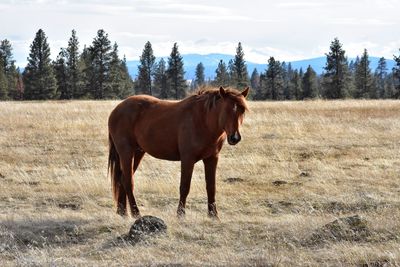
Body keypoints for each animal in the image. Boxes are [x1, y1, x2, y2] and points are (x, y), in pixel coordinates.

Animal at [108, 87, 248, 219]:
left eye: (242, 110)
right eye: (226, 110)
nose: (235, 137)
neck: (202, 120)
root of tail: (116, 110)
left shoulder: (212, 158)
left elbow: (211, 187)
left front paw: (213, 215)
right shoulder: (187, 159)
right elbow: (184, 187)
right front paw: (180, 215)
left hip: (137, 153)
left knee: (122, 179)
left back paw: (122, 212)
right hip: (126, 152)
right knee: (128, 181)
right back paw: (136, 213)